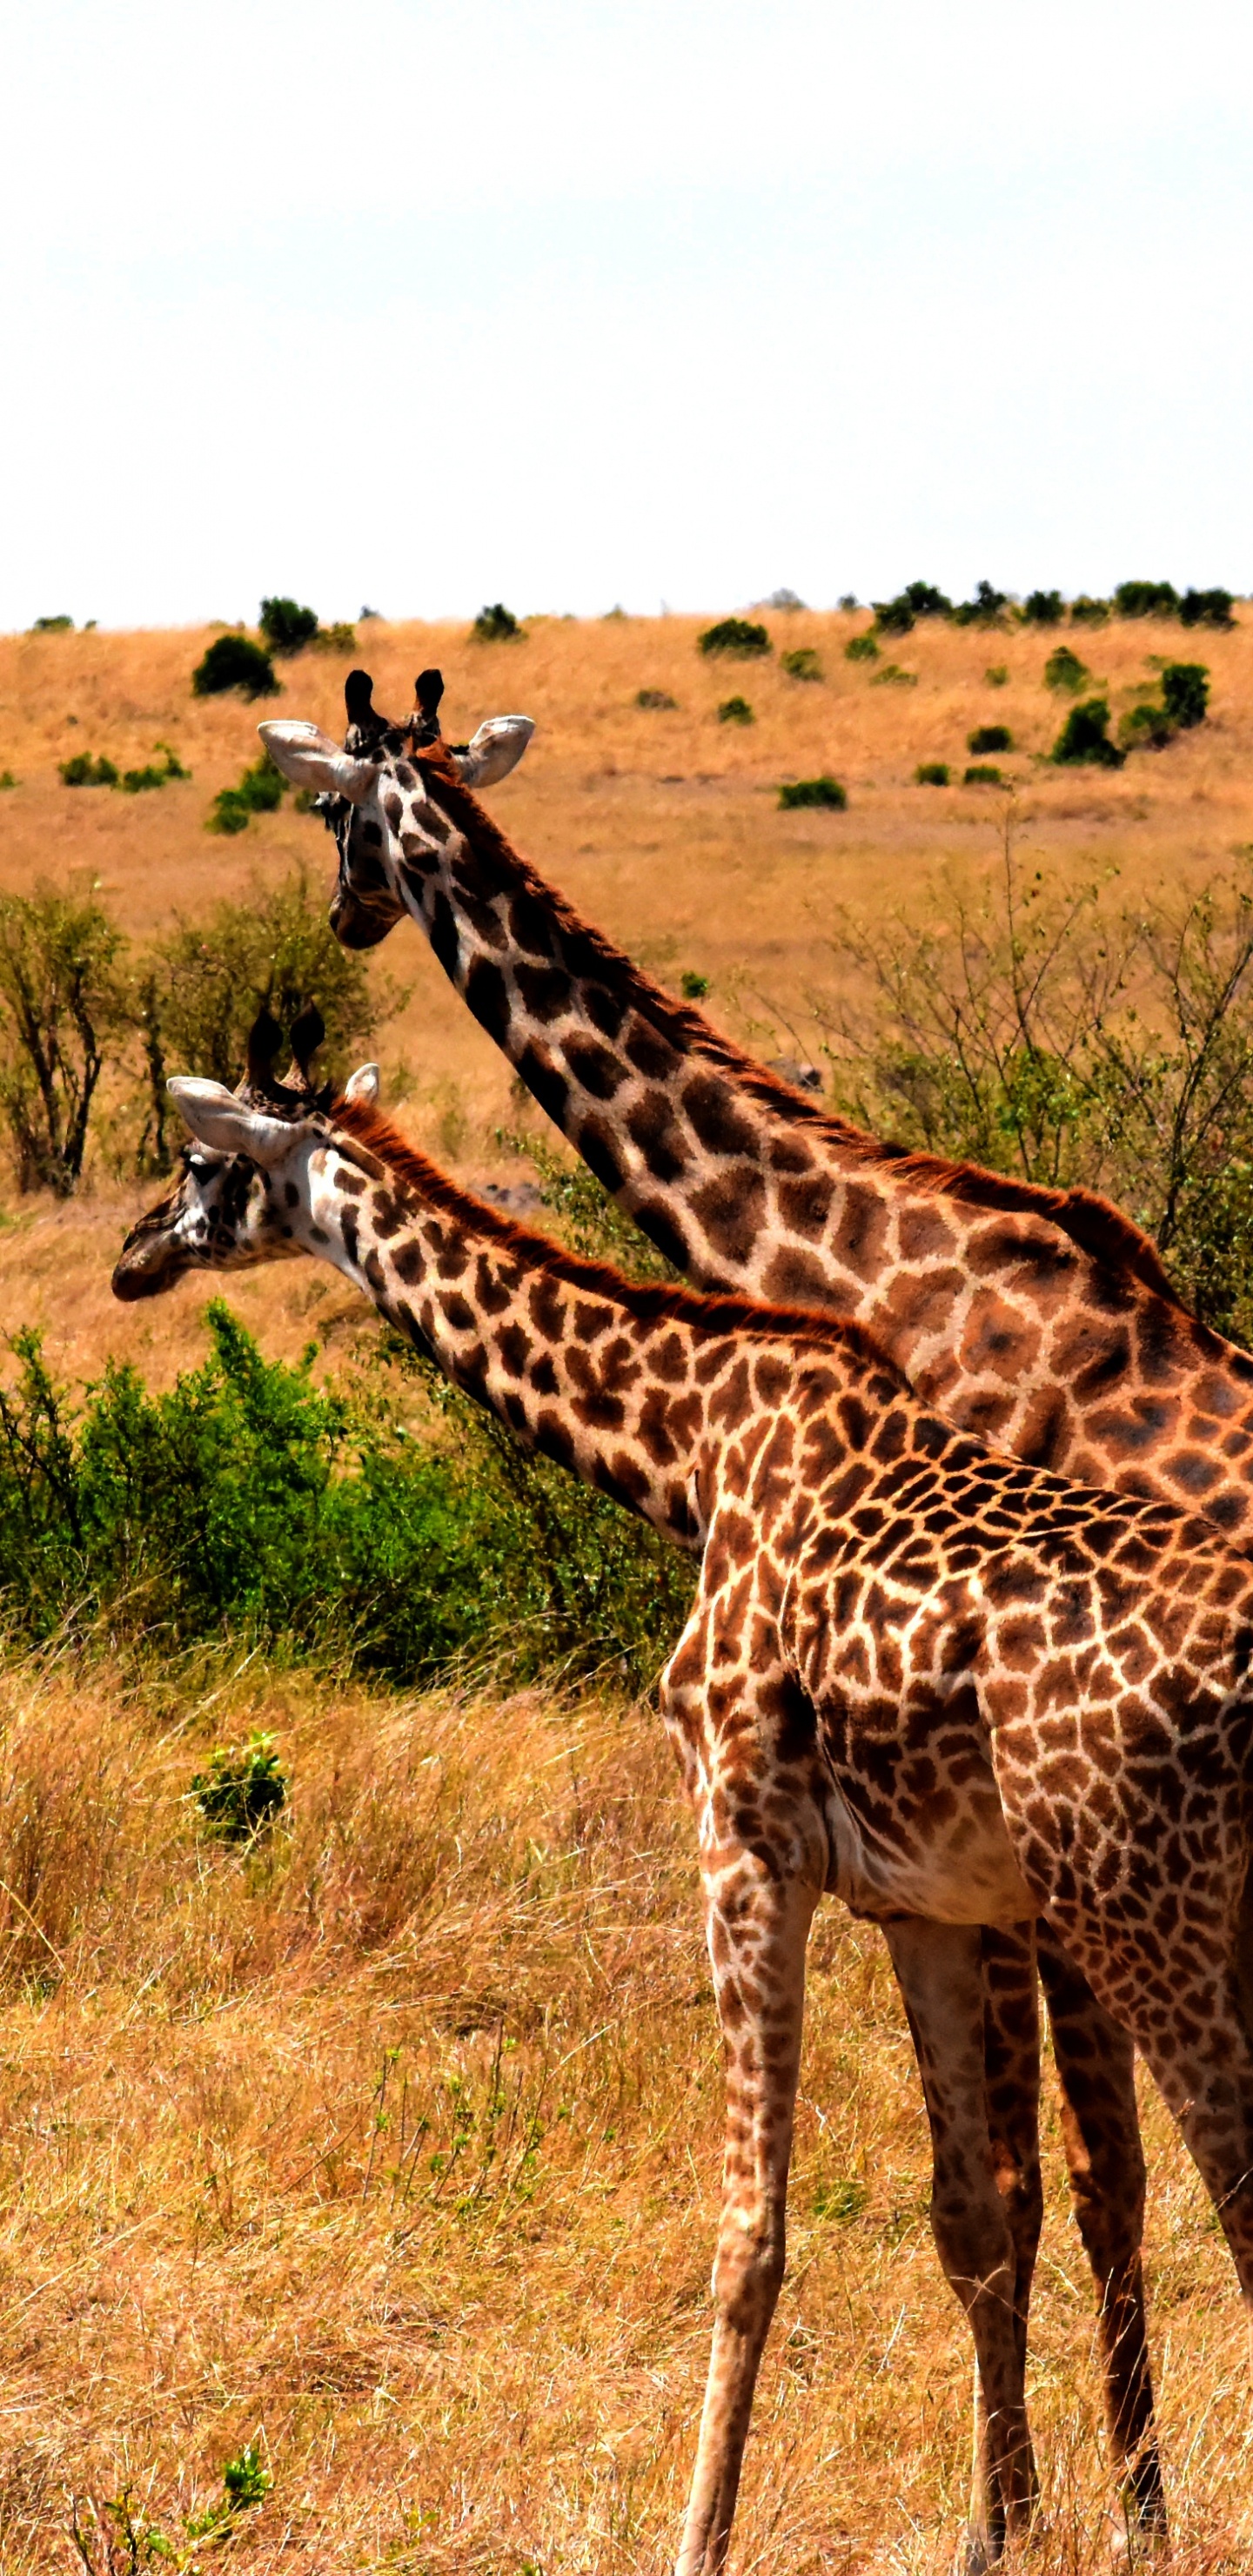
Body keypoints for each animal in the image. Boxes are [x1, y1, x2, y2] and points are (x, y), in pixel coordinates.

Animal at [251, 668, 1253, 2545]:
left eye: (333, 814)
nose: (343, 916)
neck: (869, 1261)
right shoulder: (977, 1860)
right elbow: (1034, 2190)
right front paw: (1075, 2509)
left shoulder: (1003, 1848)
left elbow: (1071, 2184)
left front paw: (1097, 2519)